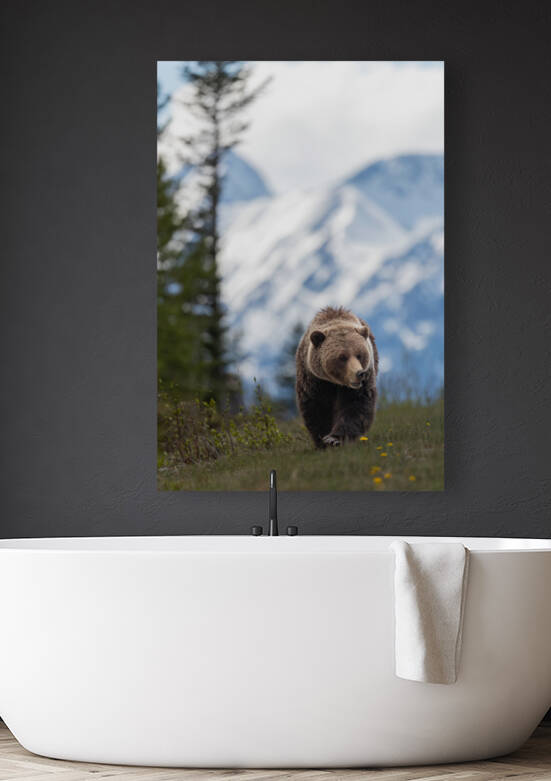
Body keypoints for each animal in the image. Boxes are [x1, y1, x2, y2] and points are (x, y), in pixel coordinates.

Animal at [295, 306, 378, 448]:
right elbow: (317, 407)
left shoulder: (362, 383)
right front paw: (323, 440)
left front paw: (334, 438)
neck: (335, 383)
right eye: (342, 357)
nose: (359, 373)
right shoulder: (314, 380)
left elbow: (355, 405)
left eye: (359, 354)